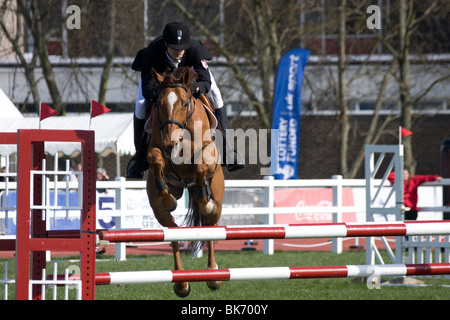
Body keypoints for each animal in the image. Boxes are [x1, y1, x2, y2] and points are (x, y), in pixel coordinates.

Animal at [146, 67, 223, 298]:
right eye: (159, 103)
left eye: (185, 103)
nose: (170, 142)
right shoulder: (157, 149)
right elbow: (155, 158)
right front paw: (168, 199)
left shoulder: (207, 153)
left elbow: (201, 165)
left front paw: (205, 200)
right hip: (160, 213)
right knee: (172, 233)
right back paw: (181, 283)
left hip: (218, 198)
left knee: (211, 227)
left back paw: (213, 276)